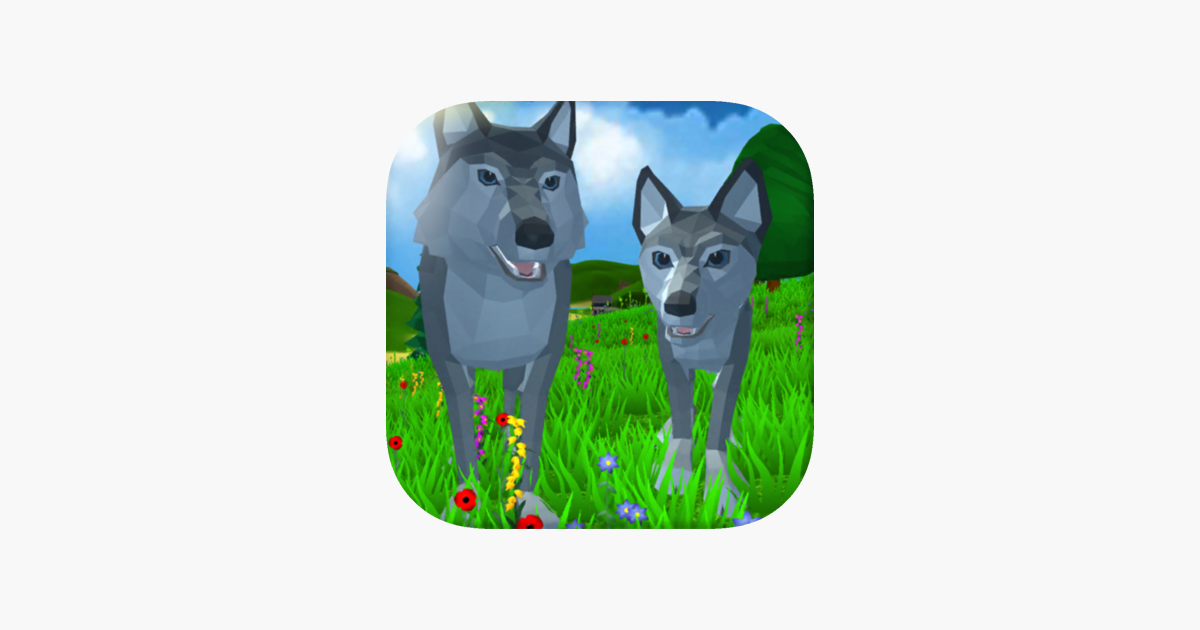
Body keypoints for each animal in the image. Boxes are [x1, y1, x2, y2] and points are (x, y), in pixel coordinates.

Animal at [413, 101, 587, 527]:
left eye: (551, 181)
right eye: (488, 177)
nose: (538, 235)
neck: (501, 300)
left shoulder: (542, 360)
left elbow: (531, 434)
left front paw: (527, 499)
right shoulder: (450, 362)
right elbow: (462, 432)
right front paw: (468, 501)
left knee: (510, 407)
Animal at [633, 158, 773, 515]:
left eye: (718, 258)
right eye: (661, 259)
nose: (678, 304)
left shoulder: (734, 362)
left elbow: (718, 427)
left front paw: (722, 489)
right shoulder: (673, 363)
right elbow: (684, 418)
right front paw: (674, 476)